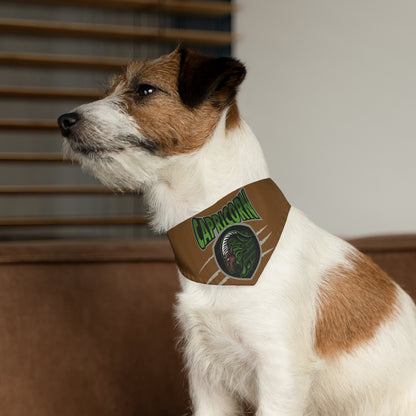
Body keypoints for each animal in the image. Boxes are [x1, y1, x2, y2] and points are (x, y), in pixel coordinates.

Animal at [57, 48, 416, 412]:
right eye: (110, 90)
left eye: (145, 89)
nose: (64, 121)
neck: (213, 223)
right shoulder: (207, 377)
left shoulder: (280, 374)